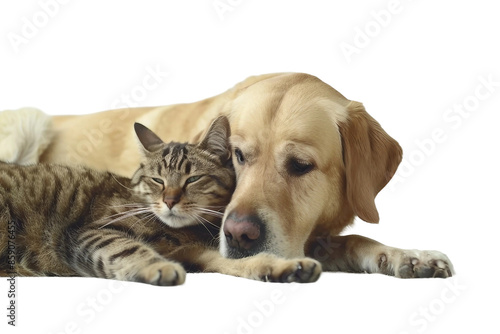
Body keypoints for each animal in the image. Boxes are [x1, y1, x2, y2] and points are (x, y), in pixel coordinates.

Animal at [0, 116, 320, 286]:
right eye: (158, 181)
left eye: (192, 179)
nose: (169, 200)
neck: (182, 233)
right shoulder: (91, 231)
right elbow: (127, 248)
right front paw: (159, 267)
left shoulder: (195, 252)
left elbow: (238, 261)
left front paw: (284, 267)